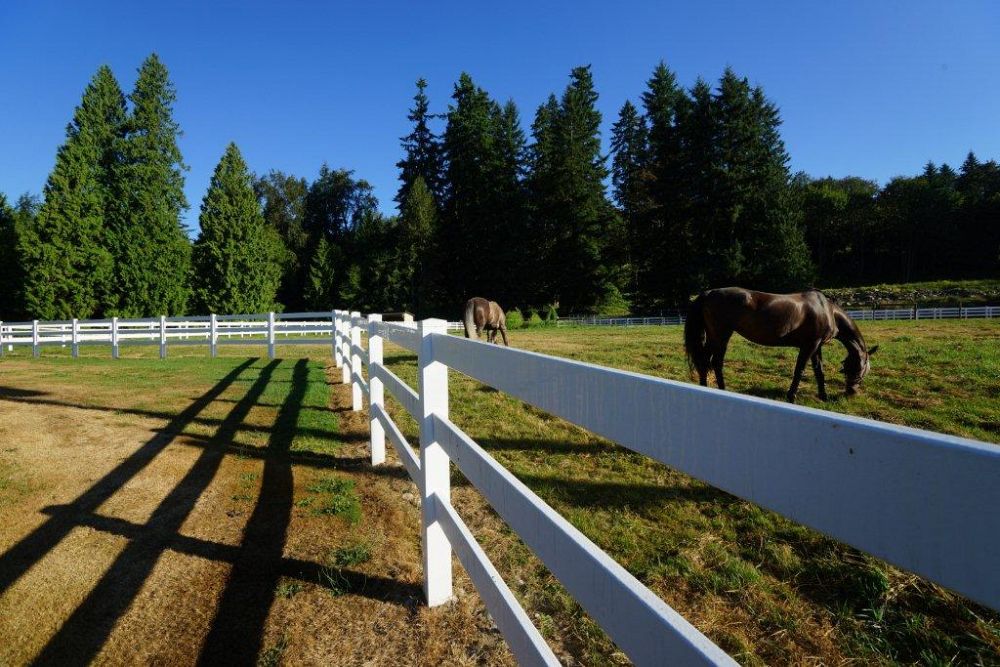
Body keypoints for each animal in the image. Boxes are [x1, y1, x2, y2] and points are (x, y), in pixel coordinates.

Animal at [688, 286, 876, 402]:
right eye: (862, 367)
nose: (851, 392)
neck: (827, 310)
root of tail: (709, 292)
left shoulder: (817, 346)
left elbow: (819, 371)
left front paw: (824, 396)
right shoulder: (809, 345)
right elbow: (799, 370)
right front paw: (791, 396)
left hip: (713, 337)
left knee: (704, 362)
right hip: (721, 336)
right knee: (715, 362)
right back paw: (722, 389)